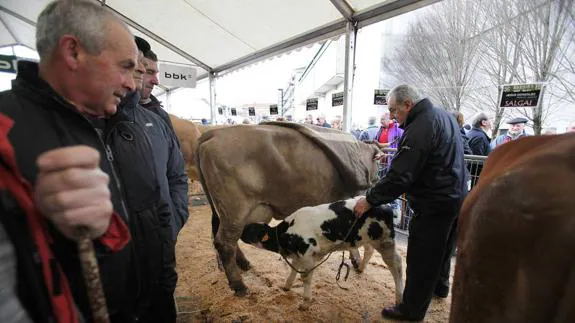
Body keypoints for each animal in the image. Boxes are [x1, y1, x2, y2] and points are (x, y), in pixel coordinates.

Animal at [198, 124, 382, 296]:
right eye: (377, 162)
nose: (378, 178)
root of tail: (213, 133)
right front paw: (357, 261)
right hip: (236, 210)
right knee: (225, 243)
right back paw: (239, 286)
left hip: (227, 213)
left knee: (223, 237)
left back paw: (244, 265)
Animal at [241, 196, 402, 306]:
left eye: (250, 230)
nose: (240, 233)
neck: (285, 235)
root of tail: (387, 206)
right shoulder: (298, 254)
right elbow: (293, 270)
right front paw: (287, 286)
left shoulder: (307, 254)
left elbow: (305, 277)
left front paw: (306, 302)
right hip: (367, 238)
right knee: (369, 251)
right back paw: (361, 268)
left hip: (385, 240)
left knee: (397, 264)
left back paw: (399, 298)